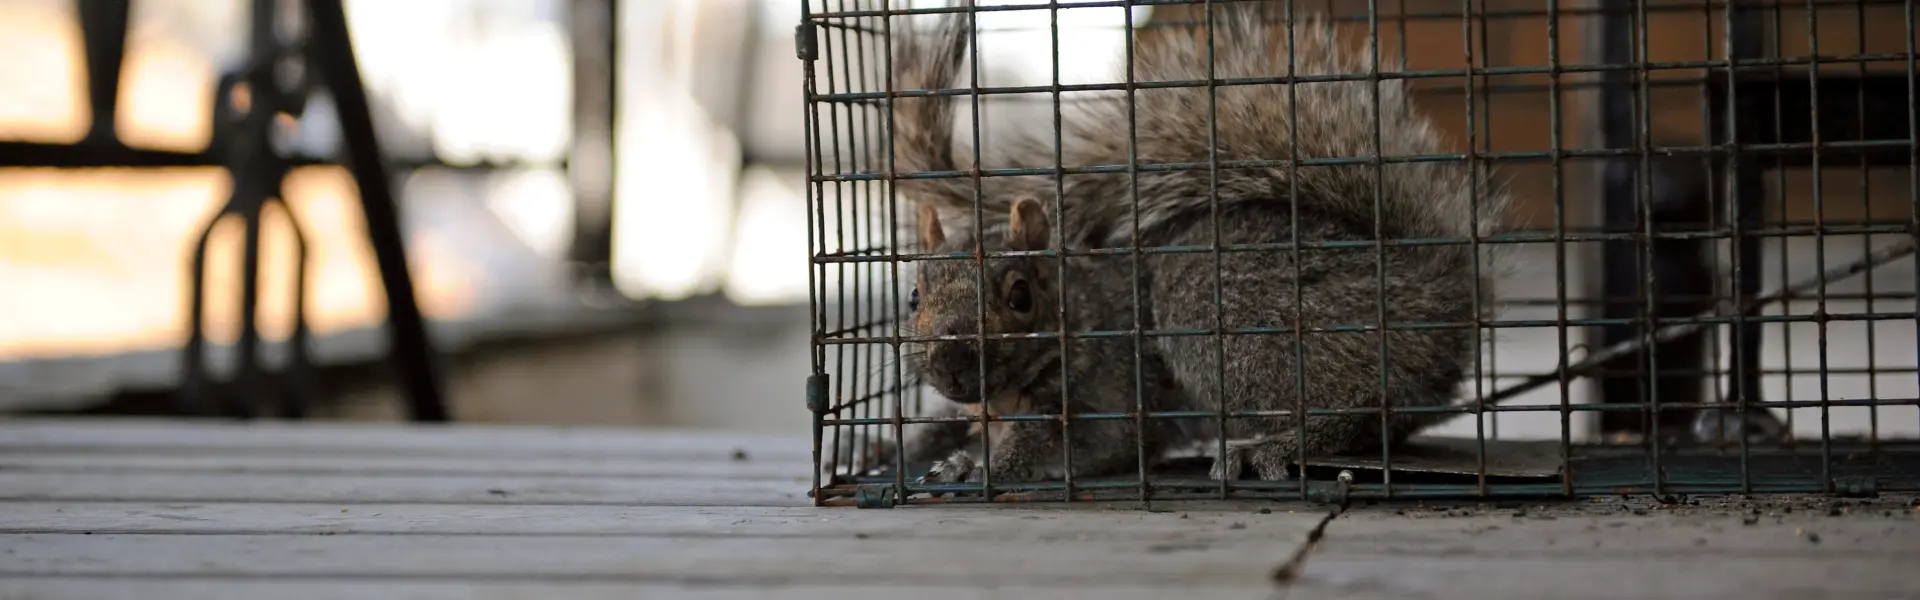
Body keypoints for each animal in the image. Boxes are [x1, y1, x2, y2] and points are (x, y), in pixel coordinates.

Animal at [879, 0, 1511, 483]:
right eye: (912, 297)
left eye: (1020, 296)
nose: (951, 362)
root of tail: (1432, 289)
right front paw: (923, 444)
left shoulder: (1116, 391)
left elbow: (1087, 448)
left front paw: (980, 467)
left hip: (1220, 319)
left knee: (1367, 410)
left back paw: (1279, 445)